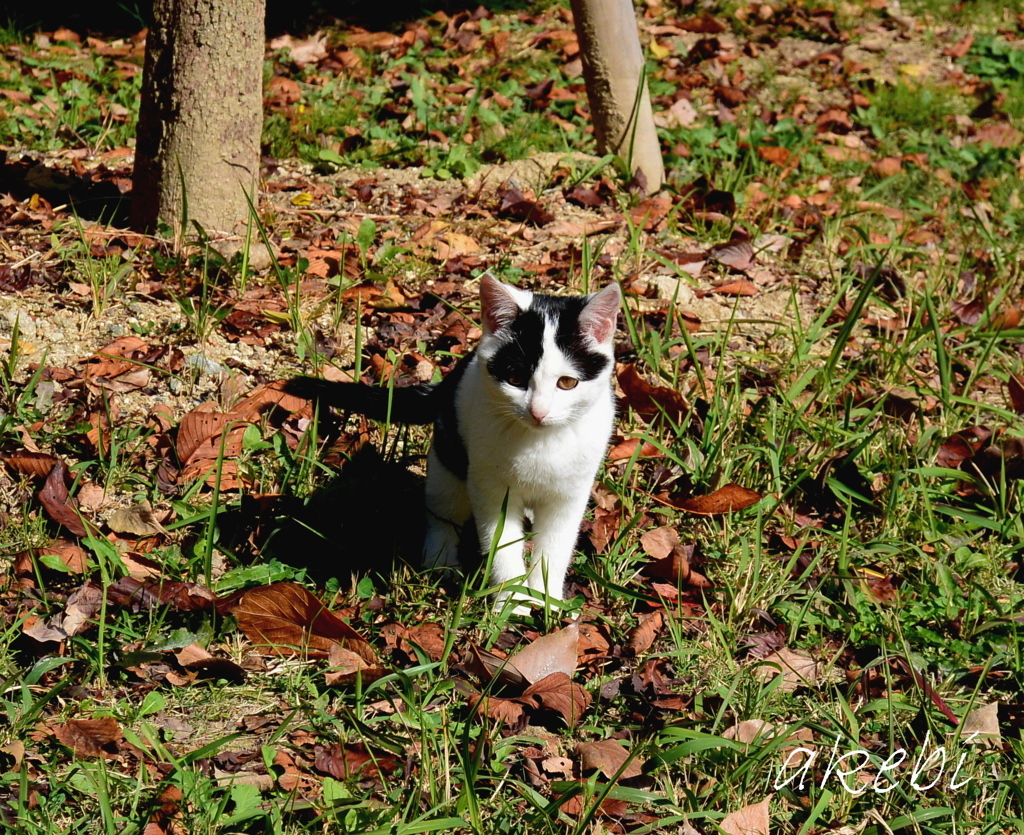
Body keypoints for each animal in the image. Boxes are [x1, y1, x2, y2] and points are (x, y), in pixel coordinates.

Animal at [290, 274, 622, 614]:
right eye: (515, 378)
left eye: (567, 383)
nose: (538, 411)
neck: (540, 441)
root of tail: (446, 383)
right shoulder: (489, 488)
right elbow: (500, 543)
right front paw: (512, 603)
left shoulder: (571, 494)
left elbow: (555, 548)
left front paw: (547, 600)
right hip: (448, 455)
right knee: (442, 510)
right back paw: (442, 560)